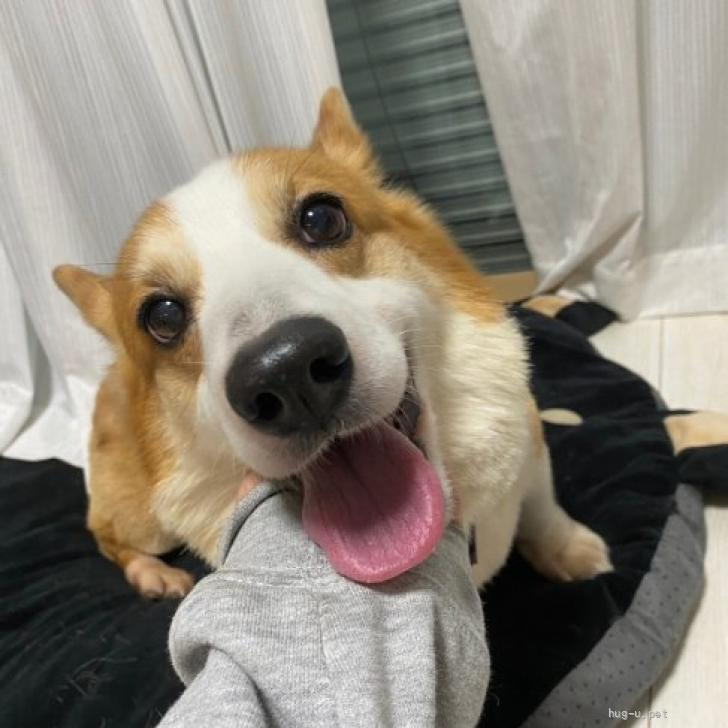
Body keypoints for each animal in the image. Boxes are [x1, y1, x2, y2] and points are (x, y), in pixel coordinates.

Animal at [53, 88, 611, 598]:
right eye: (163, 317)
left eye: (322, 219)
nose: (286, 371)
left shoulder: (529, 438)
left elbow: (542, 505)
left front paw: (570, 549)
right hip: (144, 516)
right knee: (106, 535)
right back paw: (154, 574)